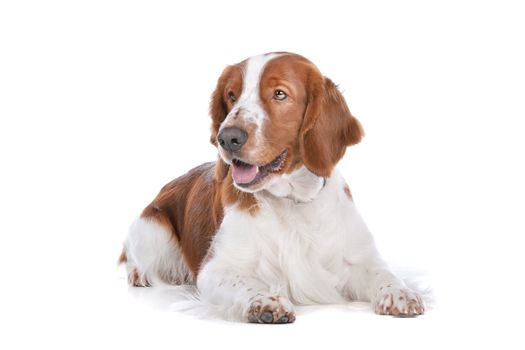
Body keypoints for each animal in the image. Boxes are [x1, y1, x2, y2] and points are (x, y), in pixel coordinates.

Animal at [118, 51, 426, 322]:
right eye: (231, 95)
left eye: (279, 94)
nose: (227, 137)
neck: (292, 200)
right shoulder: (218, 267)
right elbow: (244, 283)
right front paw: (264, 301)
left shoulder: (358, 259)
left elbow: (383, 273)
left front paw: (400, 293)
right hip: (152, 227)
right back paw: (139, 274)